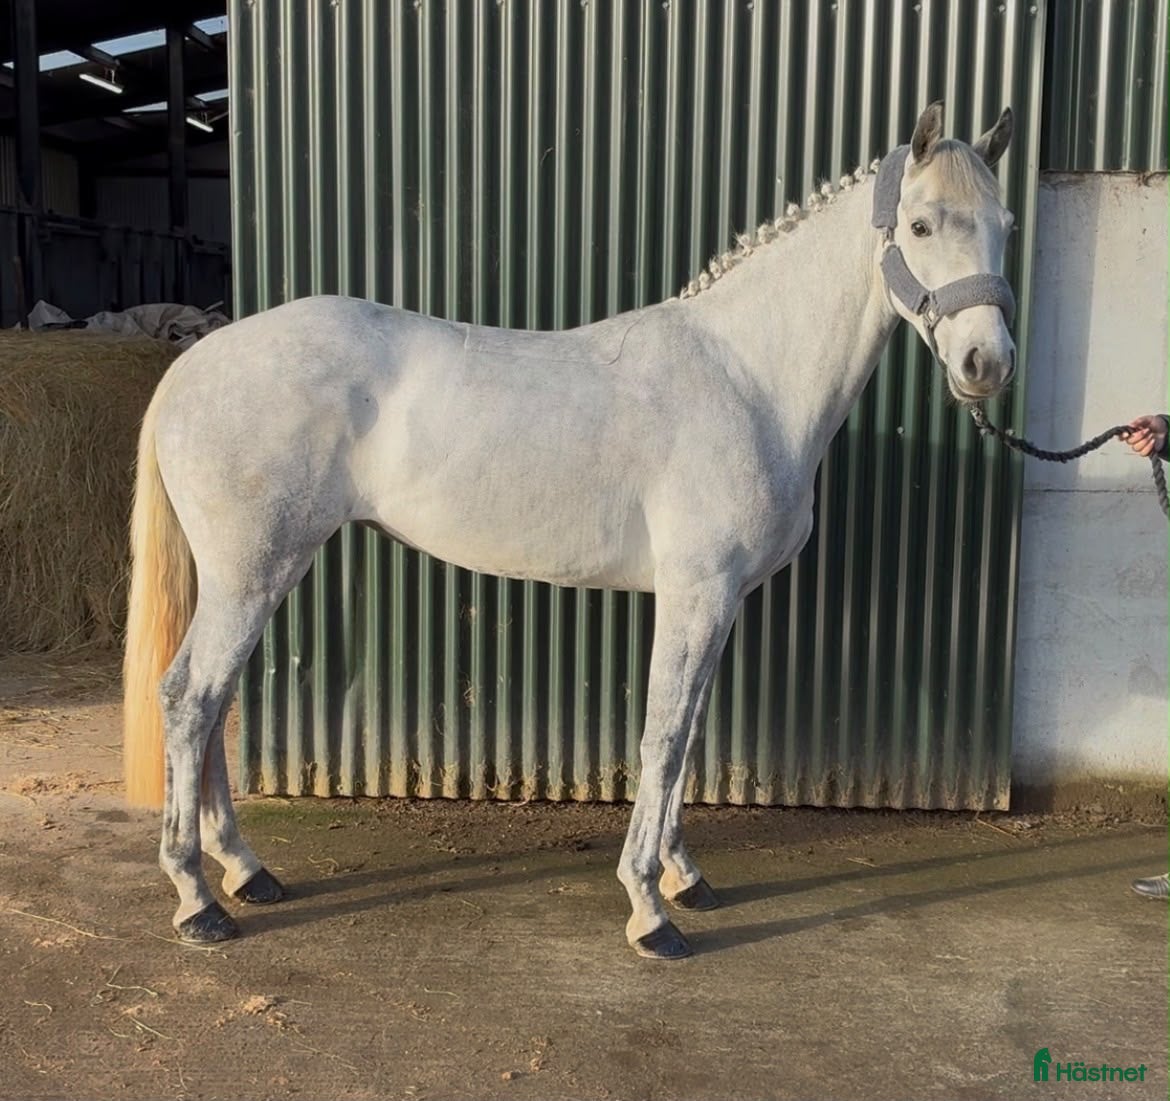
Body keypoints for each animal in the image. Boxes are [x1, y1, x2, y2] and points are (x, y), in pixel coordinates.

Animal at [122, 102, 1017, 960]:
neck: (745, 376)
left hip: (247, 577)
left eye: (1006, 224)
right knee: (191, 698)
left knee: (209, 703)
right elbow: (663, 736)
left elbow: (688, 733)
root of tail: (194, 366)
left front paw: (686, 877)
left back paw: (245, 870)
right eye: (922, 225)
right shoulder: (695, 594)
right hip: (253, 572)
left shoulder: (717, 601)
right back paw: (199, 899)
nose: (988, 363)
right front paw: (650, 909)